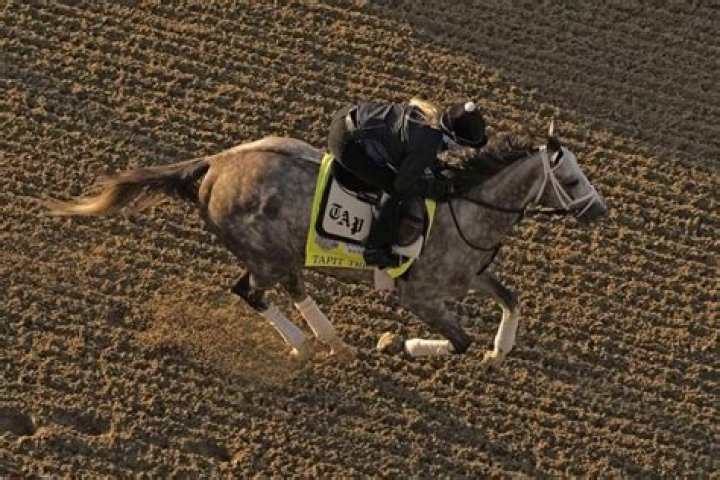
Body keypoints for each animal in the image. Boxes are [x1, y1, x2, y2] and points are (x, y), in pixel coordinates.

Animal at [47, 121, 607, 369]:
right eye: (571, 180)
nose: (600, 210)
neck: (464, 209)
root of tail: (215, 165)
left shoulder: (470, 274)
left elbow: (512, 299)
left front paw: (501, 347)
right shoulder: (420, 296)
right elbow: (459, 340)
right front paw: (402, 344)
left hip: (283, 252)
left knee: (289, 289)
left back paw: (331, 340)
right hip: (264, 255)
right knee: (250, 292)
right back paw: (305, 344)